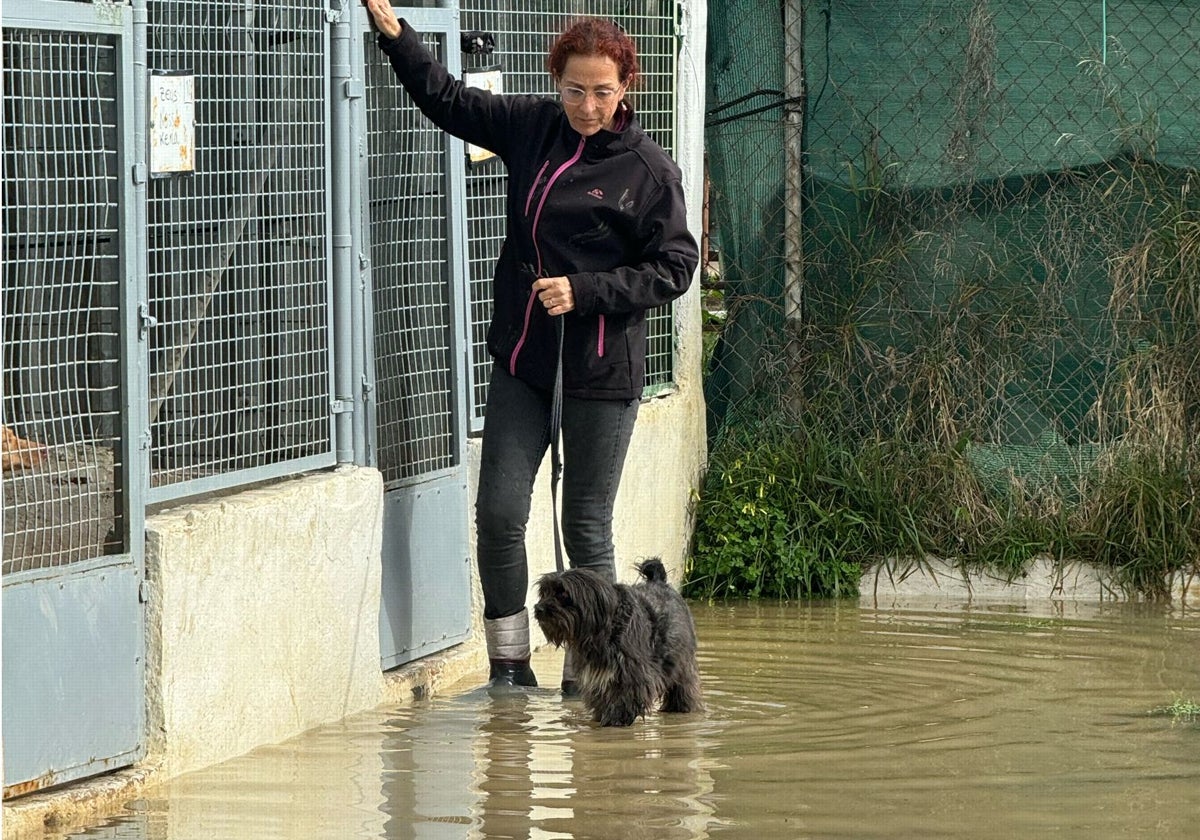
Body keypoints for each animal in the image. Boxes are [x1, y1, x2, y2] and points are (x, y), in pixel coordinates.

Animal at [535, 554, 700, 724]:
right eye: (544, 592)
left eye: (563, 593)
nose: (538, 609)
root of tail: (659, 581)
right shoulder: (595, 674)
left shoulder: (631, 672)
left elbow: (625, 698)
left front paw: (616, 719)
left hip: (680, 660)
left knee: (683, 685)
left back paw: (680, 706)